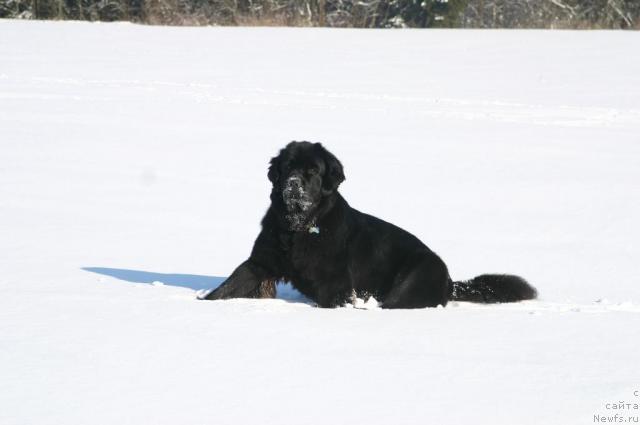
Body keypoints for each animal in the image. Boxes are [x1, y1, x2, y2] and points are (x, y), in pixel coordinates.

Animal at [204, 141, 536, 306]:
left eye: (312, 170)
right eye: (287, 167)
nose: (293, 184)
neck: (300, 227)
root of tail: (450, 281)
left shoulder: (335, 284)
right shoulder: (261, 261)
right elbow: (230, 284)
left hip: (415, 275)